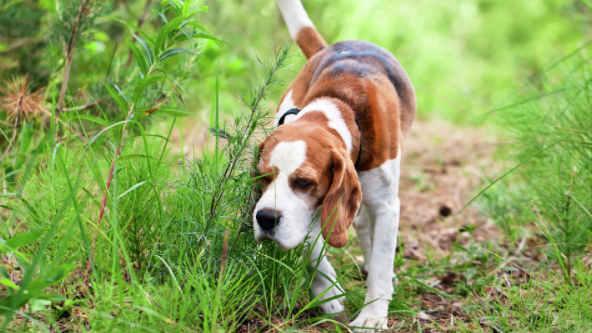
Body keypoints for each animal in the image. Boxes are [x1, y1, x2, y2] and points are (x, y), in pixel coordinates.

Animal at [252, 0, 414, 330]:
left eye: (304, 182)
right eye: (262, 177)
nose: (264, 219)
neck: (340, 106)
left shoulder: (387, 205)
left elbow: (381, 262)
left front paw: (372, 316)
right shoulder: (311, 210)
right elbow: (312, 245)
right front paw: (327, 291)